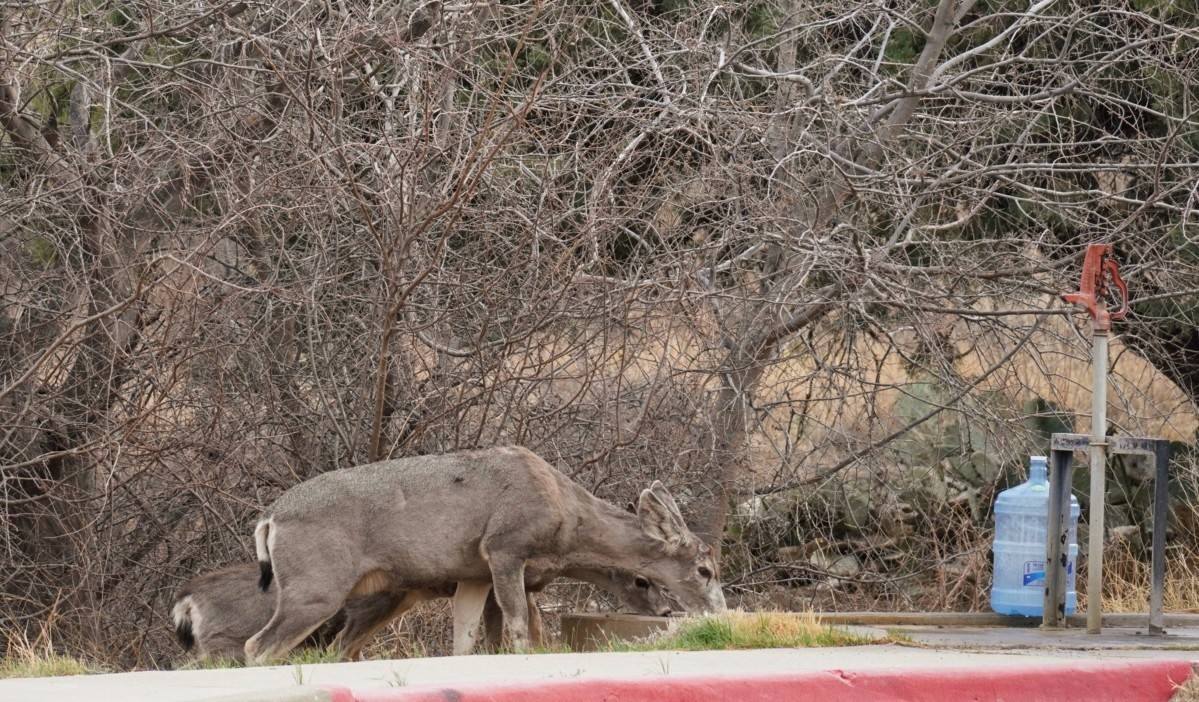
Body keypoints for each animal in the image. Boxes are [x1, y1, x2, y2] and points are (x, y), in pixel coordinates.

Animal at [244, 446, 725, 663]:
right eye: (704, 570)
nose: (719, 610)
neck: (566, 515)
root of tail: (270, 517)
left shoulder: (474, 573)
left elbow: (467, 638)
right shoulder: (505, 546)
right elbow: (518, 625)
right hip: (317, 585)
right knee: (258, 646)